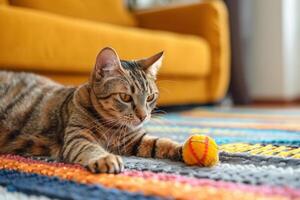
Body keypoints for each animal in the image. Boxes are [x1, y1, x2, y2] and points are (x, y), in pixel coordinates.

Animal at [0, 47, 182, 173]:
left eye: (150, 98)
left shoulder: (135, 139)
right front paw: (106, 157)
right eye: (125, 97)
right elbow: (90, 148)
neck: (112, 128)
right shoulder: (77, 138)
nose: (143, 116)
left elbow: (162, 142)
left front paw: (182, 148)